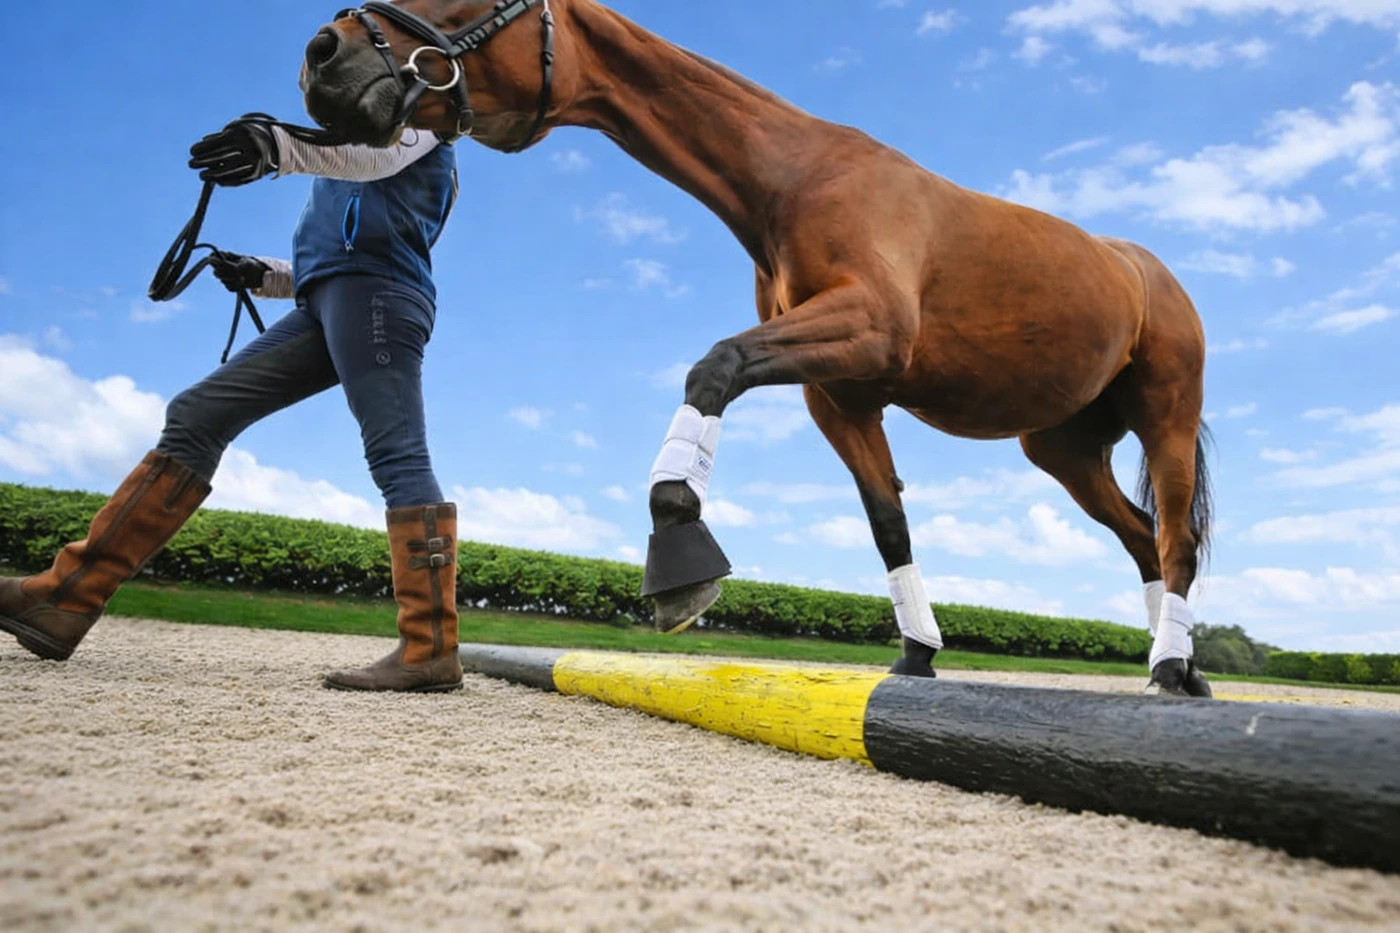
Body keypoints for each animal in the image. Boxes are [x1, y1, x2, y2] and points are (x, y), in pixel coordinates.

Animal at [298, 0, 1216, 697]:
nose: (323, 53)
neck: (794, 178)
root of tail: (1147, 270)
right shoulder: (840, 395)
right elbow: (888, 523)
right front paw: (916, 653)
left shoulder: (866, 327)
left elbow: (715, 366)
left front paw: (678, 540)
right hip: (1063, 448)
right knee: (1141, 537)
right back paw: (1179, 666)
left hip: (1165, 418)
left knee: (1175, 539)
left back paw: (1172, 667)